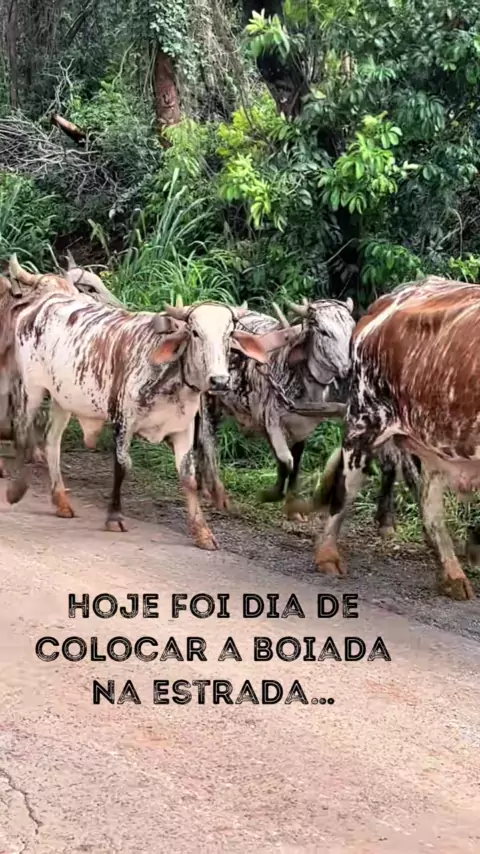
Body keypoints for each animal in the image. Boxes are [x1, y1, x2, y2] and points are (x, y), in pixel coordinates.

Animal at [5, 263, 293, 549]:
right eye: (195, 333)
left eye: (229, 335)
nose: (219, 380)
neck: (173, 378)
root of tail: (43, 302)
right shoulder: (124, 419)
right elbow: (123, 465)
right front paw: (115, 517)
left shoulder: (183, 428)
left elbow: (188, 477)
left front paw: (202, 532)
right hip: (32, 388)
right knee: (22, 429)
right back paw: (16, 489)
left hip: (62, 398)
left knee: (52, 441)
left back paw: (61, 501)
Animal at [312, 276, 480, 601]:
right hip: (365, 418)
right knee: (346, 488)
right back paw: (327, 555)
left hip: (433, 444)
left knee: (430, 509)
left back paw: (453, 575)